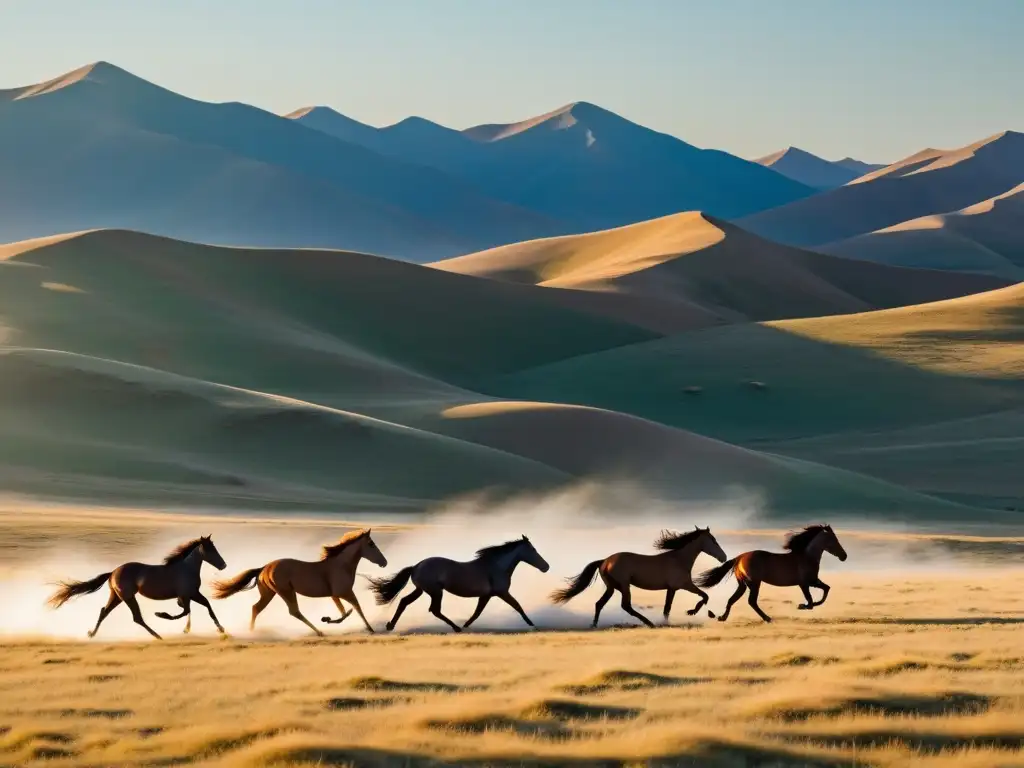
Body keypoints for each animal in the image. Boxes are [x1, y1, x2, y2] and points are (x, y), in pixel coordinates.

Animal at [46, 536, 228, 638]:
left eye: (215, 548)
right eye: (210, 550)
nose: (223, 565)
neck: (186, 568)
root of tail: (113, 572)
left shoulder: (193, 593)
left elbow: (207, 607)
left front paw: (221, 629)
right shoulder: (186, 595)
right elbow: (184, 611)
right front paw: (163, 615)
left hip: (117, 597)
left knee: (105, 611)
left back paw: (92, 634)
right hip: (128, 597)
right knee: (136, 618)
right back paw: (158, 636)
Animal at [209, 528, 385, 638]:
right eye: (371, 544)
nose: (384, 562)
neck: (341, 565)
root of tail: (264, 568)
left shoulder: (336, 595)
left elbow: (349, 610)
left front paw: (368, 628)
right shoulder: (343, 593)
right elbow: (353, 610)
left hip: (270, 593)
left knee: (256, 608)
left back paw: (251, 632)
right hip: (286, 591)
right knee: (294, 611)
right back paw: (319, 632)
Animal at [370, 536, 552, 634]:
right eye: (533, 549)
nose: (546, 567)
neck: (496, 566)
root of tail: (416, 566)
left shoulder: (486, 596)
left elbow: (477, 613)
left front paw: (466, 625)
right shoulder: (502, 593)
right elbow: (518, 606)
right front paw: (533, 626)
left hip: (421, 590)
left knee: (404, 602)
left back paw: (390, 625)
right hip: (436, 592)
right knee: (434, 610)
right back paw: (456, 628)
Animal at [552, 528, 729, 630]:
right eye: (713, 540)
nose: (724, 557)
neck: (679, 559)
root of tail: (605, 561)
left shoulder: (672, 588)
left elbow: (668, 607)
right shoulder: (683, 585)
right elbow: (704, 596)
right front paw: (695, 612)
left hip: (612, 587)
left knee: (599, 604)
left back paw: (594, 625)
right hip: (624, 586)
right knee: (626, 606)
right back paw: (649, 623)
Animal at [696, 524, 847, 626]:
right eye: (834, 539)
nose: (844, 556)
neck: (807, 556)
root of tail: (739, 558)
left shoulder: (812, 581)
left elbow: (826, 589)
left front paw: (808, 604)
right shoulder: (806, 583)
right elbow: (811, 600)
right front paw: (802, 605)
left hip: (743, 584)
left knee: (732, 599)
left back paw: (722, 617)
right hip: (754, 583)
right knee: (751, 601)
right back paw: (768, 618)